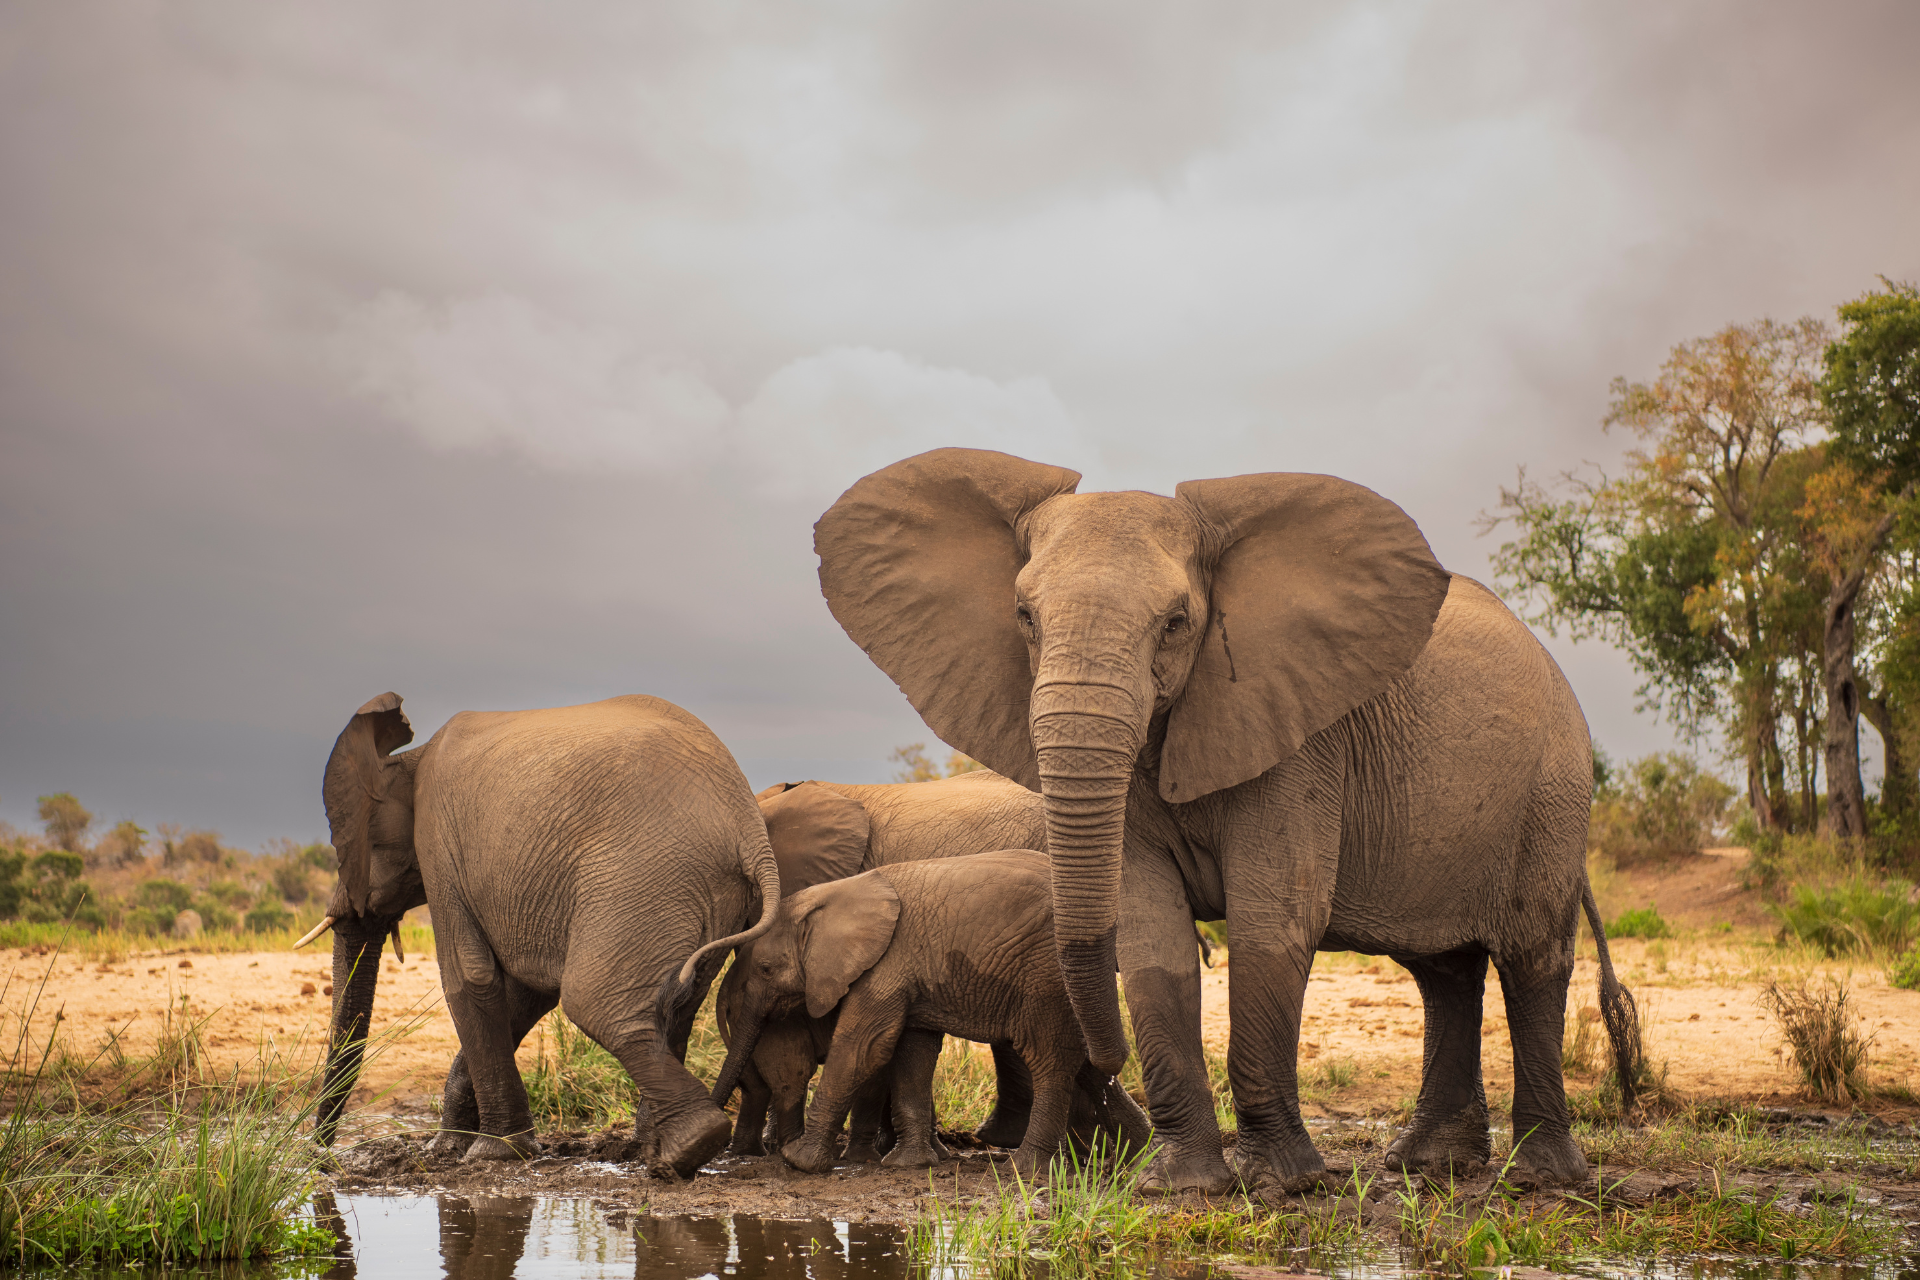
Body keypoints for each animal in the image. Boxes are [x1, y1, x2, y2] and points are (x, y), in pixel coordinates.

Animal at [311, 694, 775, 1174]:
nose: (320, 1152)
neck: (407, 758)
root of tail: (749, 830)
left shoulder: (439, 847)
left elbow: (468, 978)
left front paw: (492, 1153)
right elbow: (525, 993)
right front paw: (447, 1149)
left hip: (641, 875)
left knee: (594, 1002)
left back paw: (689, 1148)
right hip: (706, 892)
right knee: (678, 1003)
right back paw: (652, 1153)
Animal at [714, 852, 1121, 1182]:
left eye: (766, 969)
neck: (832, 896)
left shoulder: (886, 963)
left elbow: (862, 1048)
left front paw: (798, 1161)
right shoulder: (907, 970)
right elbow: (913, 1052)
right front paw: (909, 1165)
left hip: (1045, 977)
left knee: (1048, 1058)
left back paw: (1026, 1171)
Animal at [810, 449, 1635, 1189]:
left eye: (1177, 623)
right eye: (1023, 616)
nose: (1103, 1072)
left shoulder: (1301, 739)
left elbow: (1274, 921)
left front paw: (1280, 1184)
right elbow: (1151, 930)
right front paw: (1181, 1185)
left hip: (1553, 788)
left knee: (1530, 958)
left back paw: (1538, 1179)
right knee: (1445, 972)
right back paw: (1428, 1166)